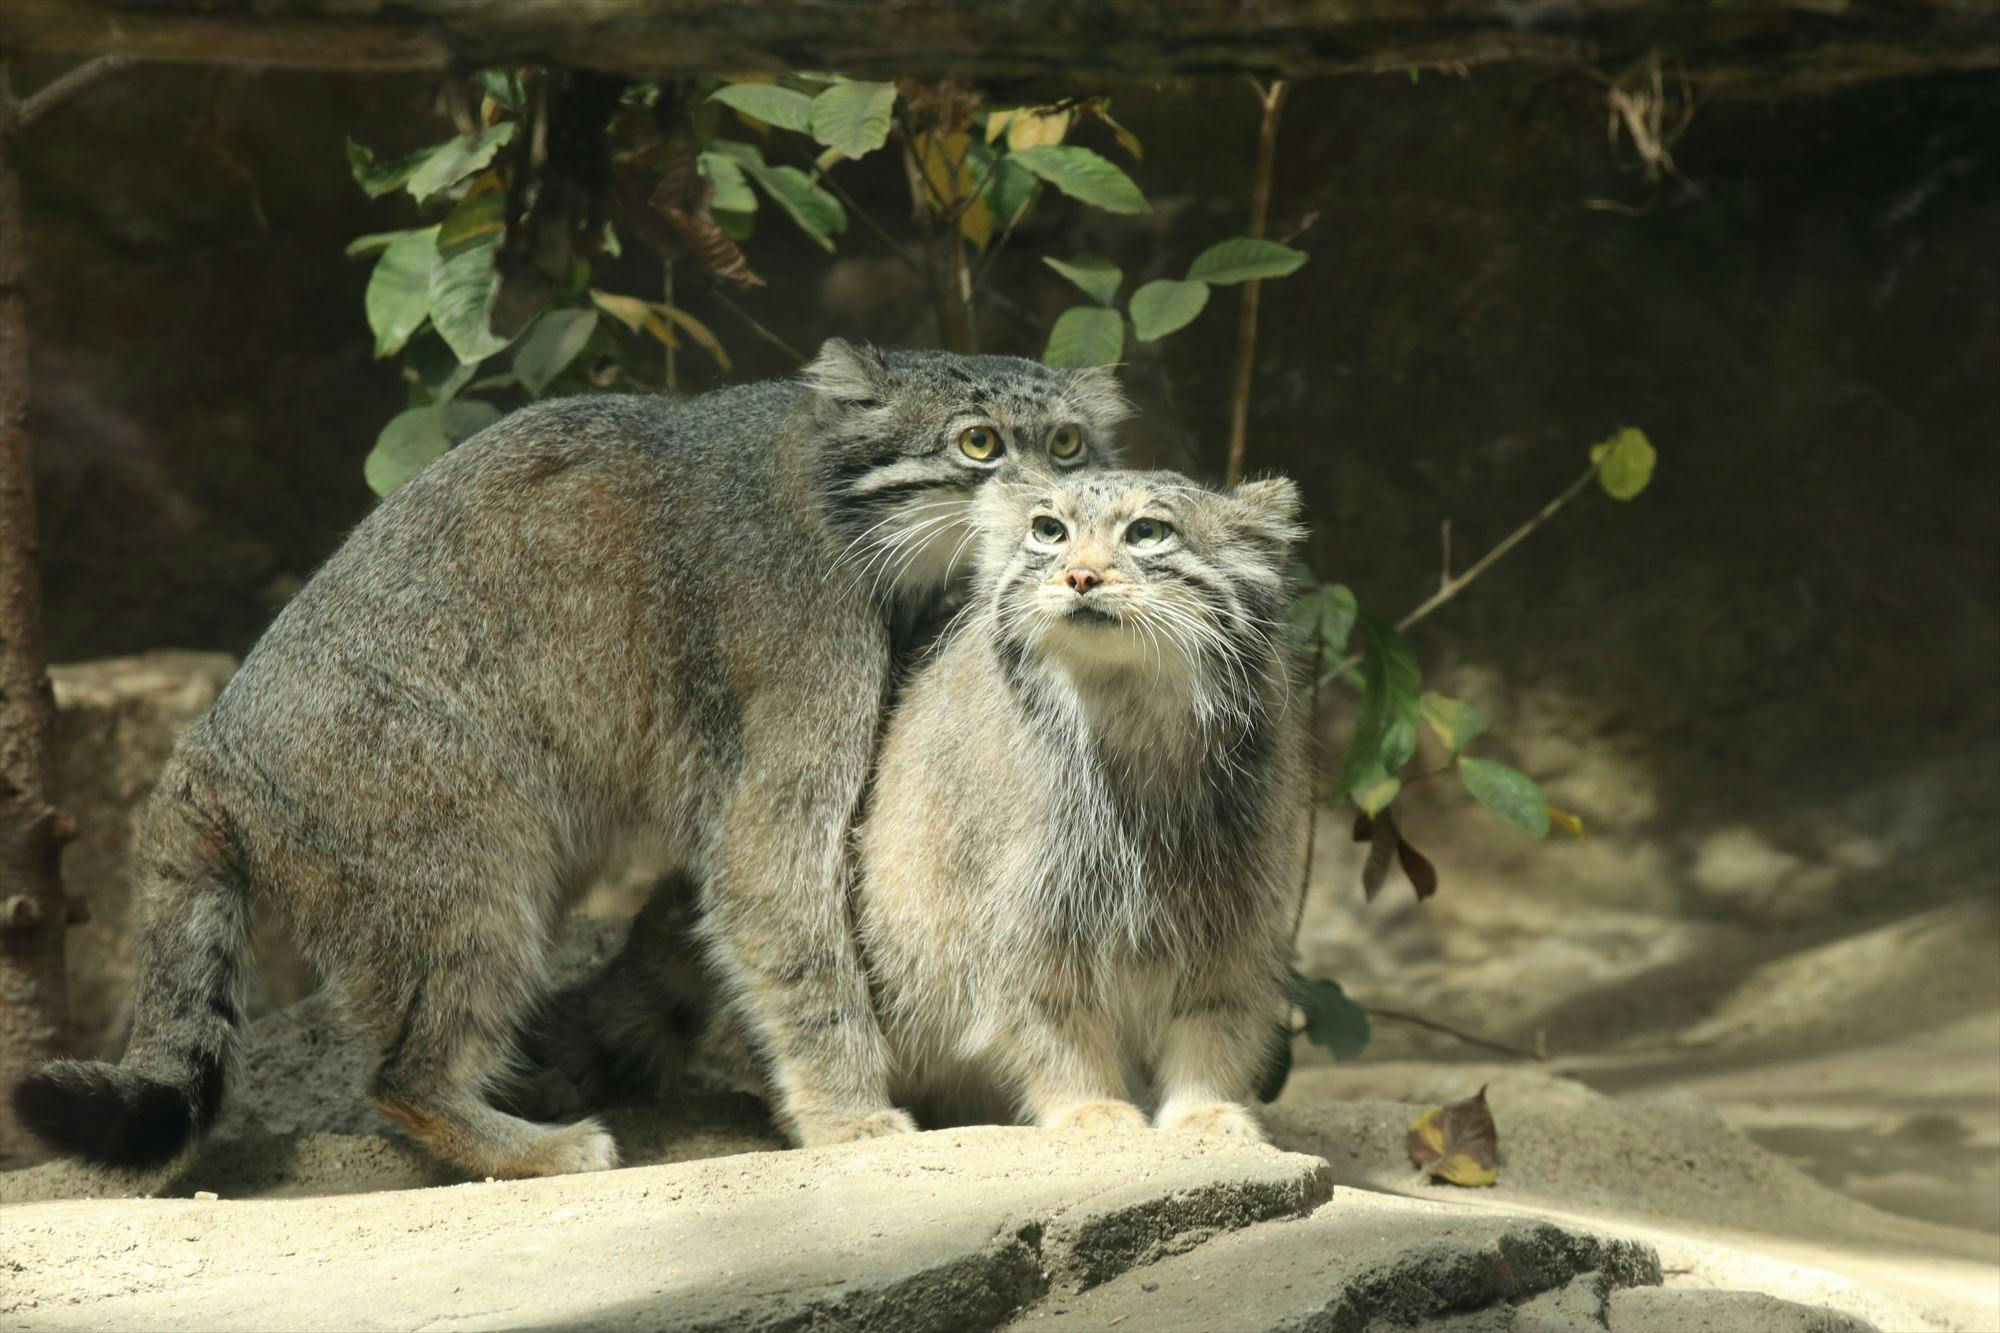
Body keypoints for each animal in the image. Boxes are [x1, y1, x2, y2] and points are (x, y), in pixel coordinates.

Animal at [11, 338, 1128, 1168]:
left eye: (1069, 443)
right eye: (980, 442)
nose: (1055, 515)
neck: (831, 495)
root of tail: (208, 745)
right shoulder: (790, 712)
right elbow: (792, 931)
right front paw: (846, 1111)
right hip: (457, 864)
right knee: (399, 1072)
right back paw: (523, 1142)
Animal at [532, 464, 1312, 1128]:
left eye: (1148, 532)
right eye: (1048, 530)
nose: (1080, 574)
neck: (1131, 723)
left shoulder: (1237, 917)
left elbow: (1218, 1024)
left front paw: (1207, 1113)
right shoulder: (1024, 919)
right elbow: (1056, 1025)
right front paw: (1089, 1108)